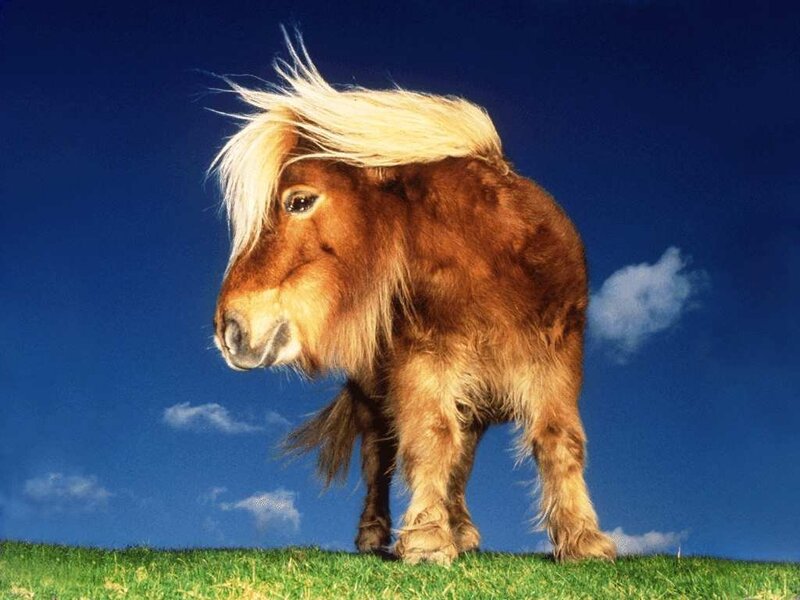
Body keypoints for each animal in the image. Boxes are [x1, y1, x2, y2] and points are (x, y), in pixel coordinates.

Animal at [211, 35, 616, 565]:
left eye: (299, 201)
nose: (229, 329)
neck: (492, 265)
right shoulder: (425, 361)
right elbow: (429, 438)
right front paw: (425, 540)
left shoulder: (557, 361)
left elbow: (560, 441)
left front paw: (583, 540)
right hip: (374, 396)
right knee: (379, 458)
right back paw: (375, 534)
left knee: (462, 458)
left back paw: (463, 529)